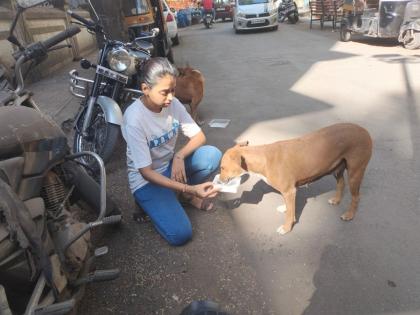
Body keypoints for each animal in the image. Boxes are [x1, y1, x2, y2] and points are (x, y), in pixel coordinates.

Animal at [218, 123, 372, 235]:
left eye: (222, 167)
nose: (219, 180)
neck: (264, 159)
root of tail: (364, 131)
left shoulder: (289, 191)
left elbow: (290, 214)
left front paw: (286, 228)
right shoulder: (287, 192)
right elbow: (289, 207)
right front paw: (285, 208)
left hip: (355, 172)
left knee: (356, 197)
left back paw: (349, 215)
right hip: (337, 168)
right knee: (341, 184)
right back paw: (336, 200)